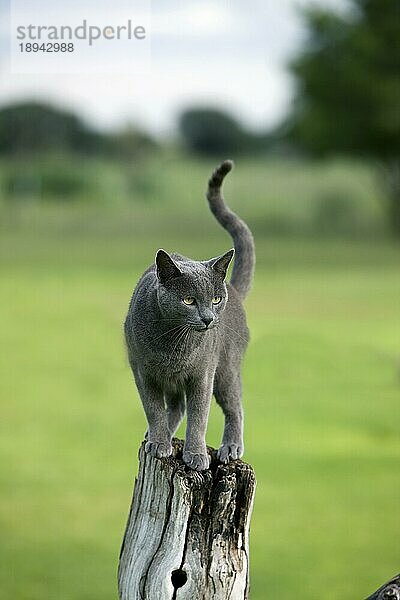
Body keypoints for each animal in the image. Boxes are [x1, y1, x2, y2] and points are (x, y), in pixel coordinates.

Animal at [125, 162, 255, 472]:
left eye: (215, 299)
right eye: (188, 300)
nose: (208, 318)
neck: (175, 344)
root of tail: (234, 288)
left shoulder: (202, 375)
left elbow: (199, 416)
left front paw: (196, 455)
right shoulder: (143, 372)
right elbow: (154, 410)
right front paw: (159, 443)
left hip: (226, 368)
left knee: (235, 405)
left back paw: (231, 447)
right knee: (175, 406)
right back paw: (158, 435)